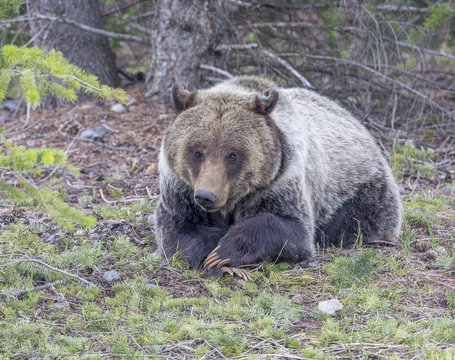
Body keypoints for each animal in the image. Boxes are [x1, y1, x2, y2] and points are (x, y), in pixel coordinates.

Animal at [154, 76, 402, 278]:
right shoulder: (180, 188)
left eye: (232, 155)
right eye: (197, 152)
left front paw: (225, 250)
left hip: (359, 187)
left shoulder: (280, 182)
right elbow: (177, 230)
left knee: (354, 221)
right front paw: (214, 251)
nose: (207, 196)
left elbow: (292, 230)